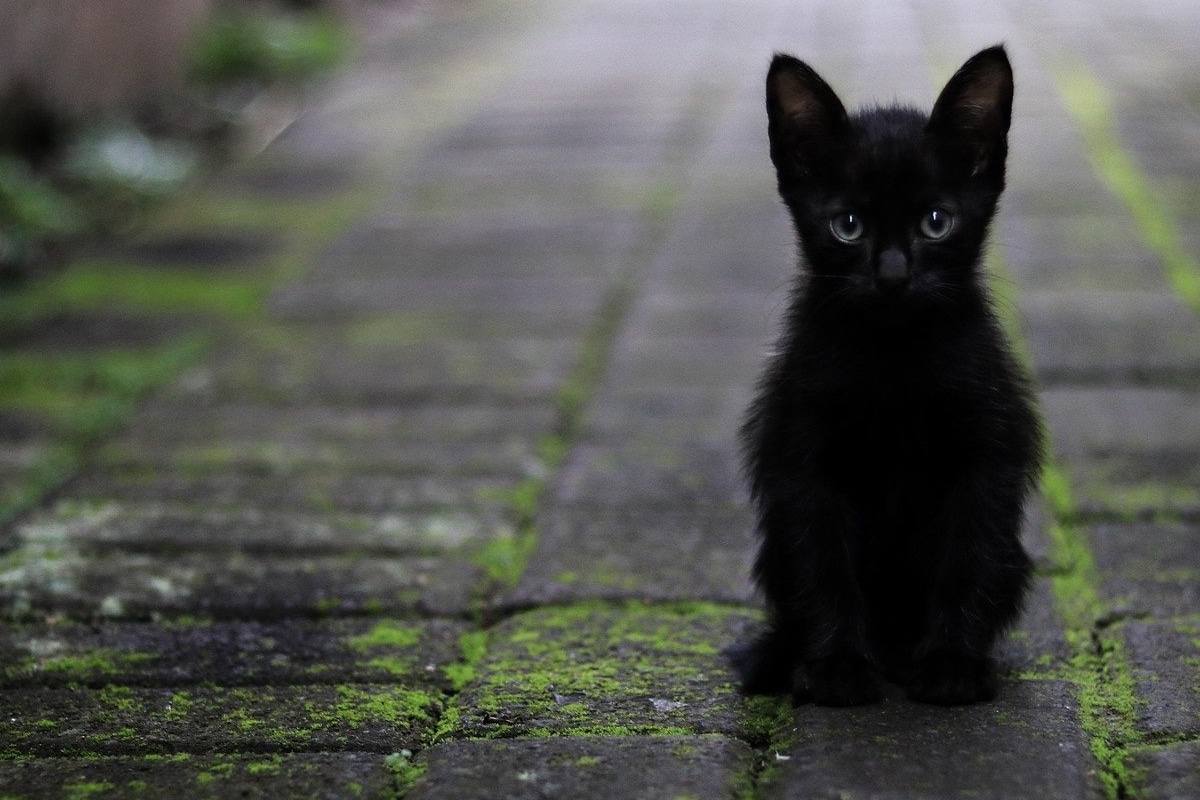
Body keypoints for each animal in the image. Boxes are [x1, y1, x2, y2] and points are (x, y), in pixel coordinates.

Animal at [729, 47, 1041, 705]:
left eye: (936, 222)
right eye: (847, 225)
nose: (894, 275)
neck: (895, 358)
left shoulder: (987, 452)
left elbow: (966, 559)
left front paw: (952, 663)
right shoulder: (803, 458)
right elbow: (823, 565)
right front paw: (837, 666)